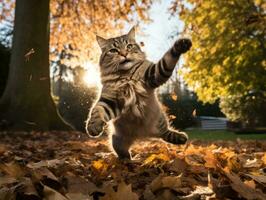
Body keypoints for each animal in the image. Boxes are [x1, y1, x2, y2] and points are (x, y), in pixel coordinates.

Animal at [86, 27, 192, 159]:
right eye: (113, 50)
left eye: (129, 46)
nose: (124, 54)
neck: (126, 76)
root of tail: (144, 135)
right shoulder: (110, 99)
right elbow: (97, 110)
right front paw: (93, 127)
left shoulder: (154, 74)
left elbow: (168, 59)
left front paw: (181, 45)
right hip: (117, 139)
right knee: (123, 150)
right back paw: (128, 159)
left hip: (160, 121)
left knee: (165, 133)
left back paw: (181, 137)